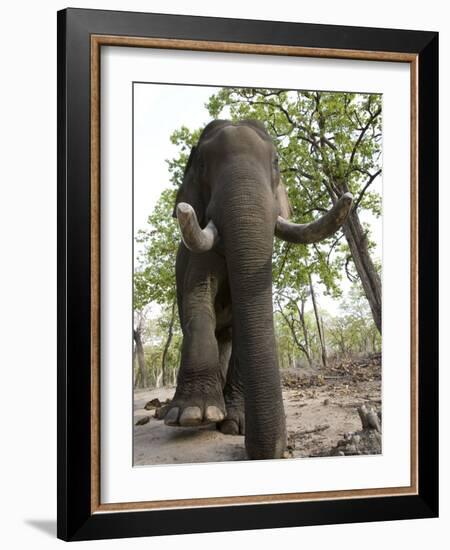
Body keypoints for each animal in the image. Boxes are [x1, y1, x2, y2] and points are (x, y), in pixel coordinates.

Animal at [161, 119, 352, 462]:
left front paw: (237, 425)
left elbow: (243, 321)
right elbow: (198, 300)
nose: (271, 450)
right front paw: (193, 415)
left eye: (276, 162)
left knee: (226, 338)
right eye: (202, 164)